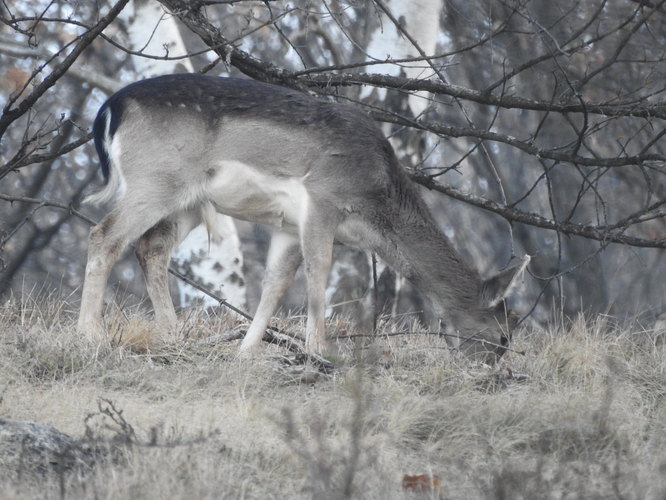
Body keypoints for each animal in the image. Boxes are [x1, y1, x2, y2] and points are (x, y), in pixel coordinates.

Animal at [78, 73, 528, 364]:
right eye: (503, 334)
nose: (491, 372)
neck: (375, 206)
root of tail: (110, 108)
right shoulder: (322, 197)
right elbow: (319, 271)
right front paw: (320, 351)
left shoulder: (287, 227)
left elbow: (275, 284)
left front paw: (246, 351)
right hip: (157, 179)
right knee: (104, 234)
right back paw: (91, 335)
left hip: (187, 198)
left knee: (151, 246)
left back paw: (172, 337)